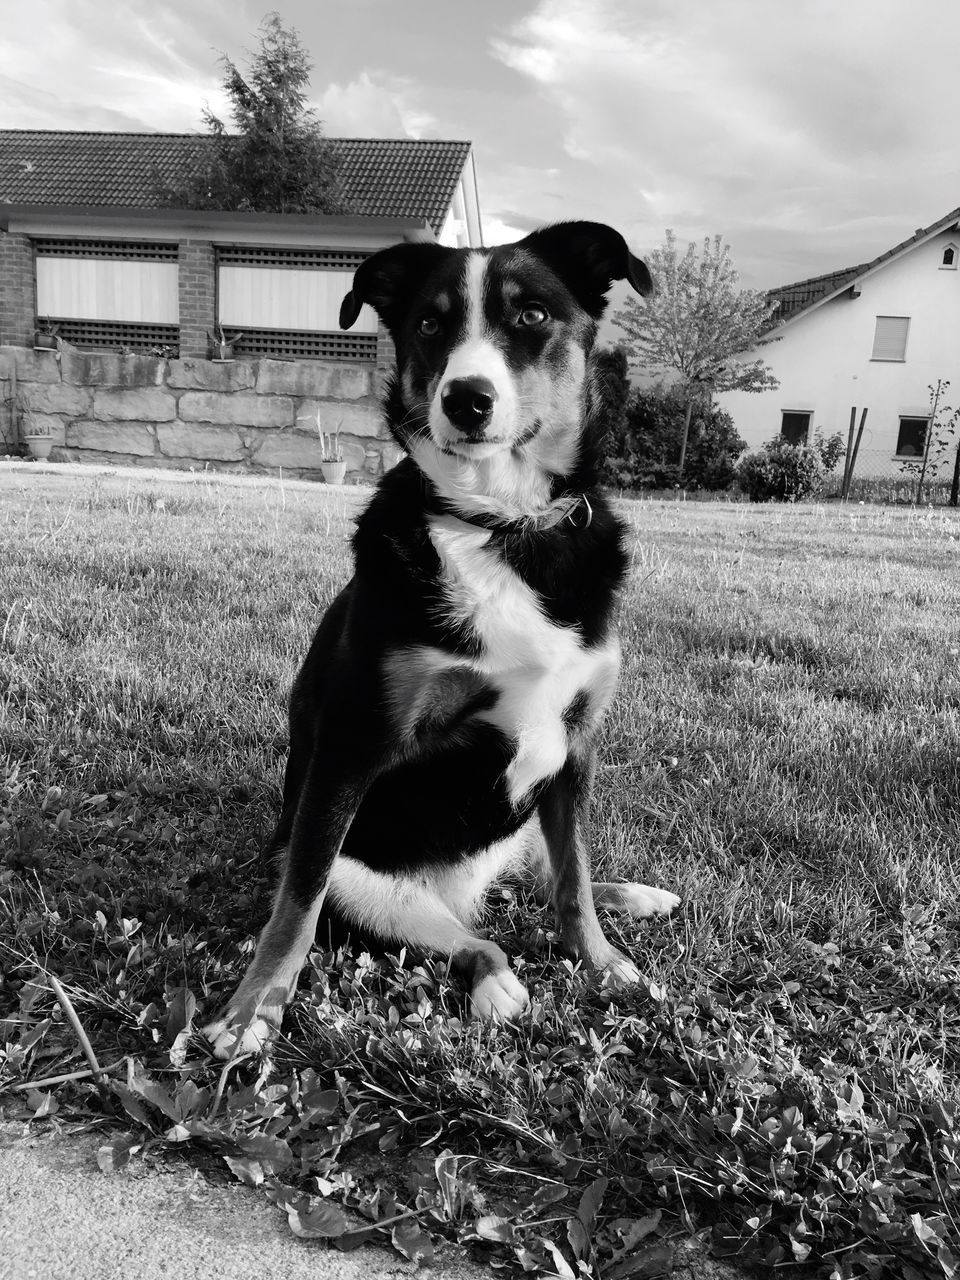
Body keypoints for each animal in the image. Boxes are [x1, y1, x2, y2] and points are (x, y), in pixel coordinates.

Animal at [207, 222, 680, 1059]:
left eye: (531, 315)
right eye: (430, 324)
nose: (467, 399)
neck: (502, 525)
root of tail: (461, 894)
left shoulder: (574, 747)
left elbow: (575, 877)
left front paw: (602, 961)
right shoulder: (352, 748)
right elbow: (294, 908)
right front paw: (252, 1010)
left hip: (525, 816)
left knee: (548, 882)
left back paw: (634, 895)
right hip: (370, 883)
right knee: (477, 940)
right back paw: (496, 982)